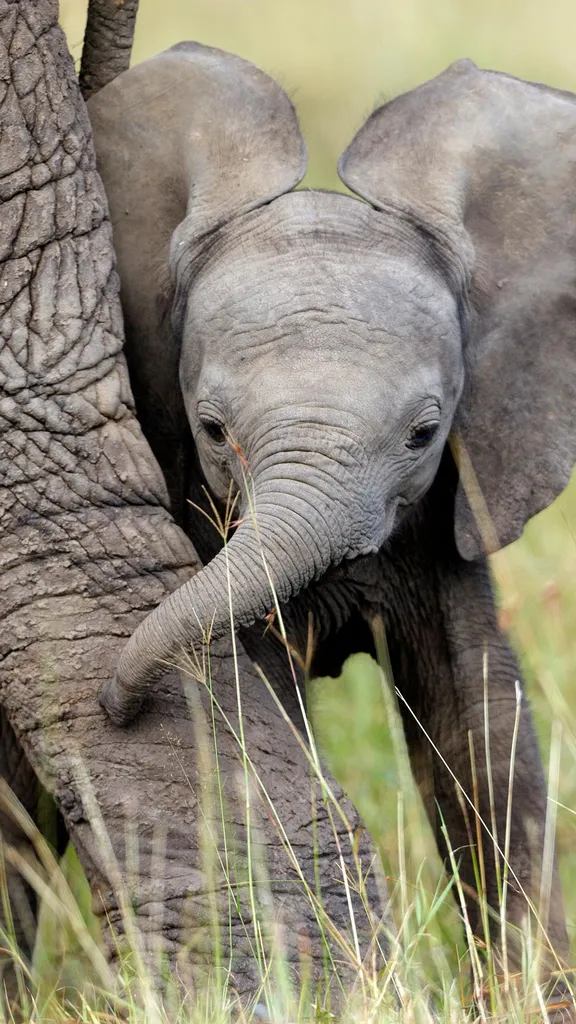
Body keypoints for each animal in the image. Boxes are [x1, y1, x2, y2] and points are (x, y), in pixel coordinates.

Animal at [89, 43, 576, 998]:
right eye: (212, 430)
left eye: (425, 433)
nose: (116, 704)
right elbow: (275, 700)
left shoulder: (442, 519)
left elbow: (484, 726)